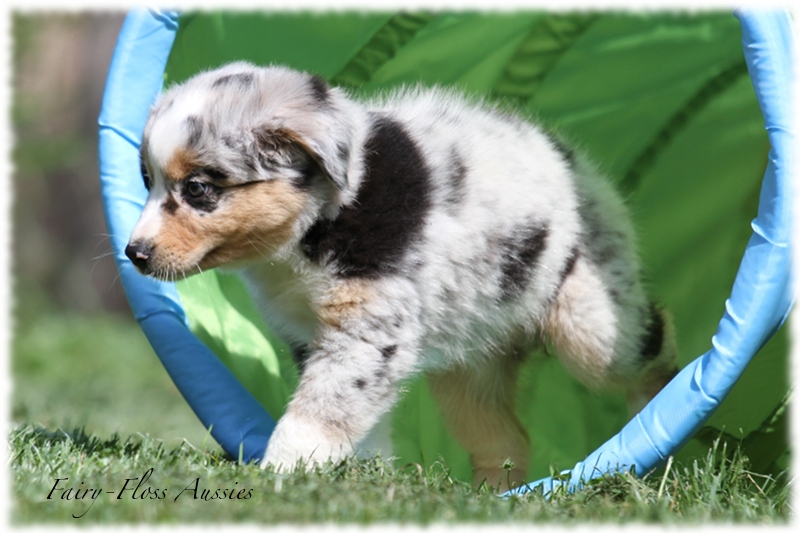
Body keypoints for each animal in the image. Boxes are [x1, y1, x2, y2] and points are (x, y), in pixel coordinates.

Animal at [128, 60, 680, 488]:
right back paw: (489, 497)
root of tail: (576, 162)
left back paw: (661, 412)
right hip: (471, 361)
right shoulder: (312, 333)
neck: (316, 224)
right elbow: (357, 417)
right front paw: (363, 476)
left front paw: (280, 475)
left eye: (198, 189)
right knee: (507, 438)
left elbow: (320, 409)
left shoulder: (367, 330)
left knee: (652, 342)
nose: (134, 253)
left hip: (590, 325)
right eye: (146, 180)